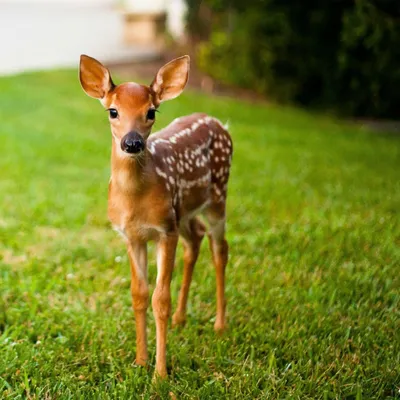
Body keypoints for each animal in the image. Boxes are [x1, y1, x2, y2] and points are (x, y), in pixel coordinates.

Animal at [78, 54, 233, 378]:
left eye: (151, 111)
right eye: (113, 111)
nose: (132, 142)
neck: (134, 200)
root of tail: (219, 123)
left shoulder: (164, 231)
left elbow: (160, 298)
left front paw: (160, 374)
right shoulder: (132, 235)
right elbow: (139, 294)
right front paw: (140, 360)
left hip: (217, 197)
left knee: (220, 248)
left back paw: (220, 325)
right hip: (182, 212)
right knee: (196, 239)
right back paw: (181, 319)